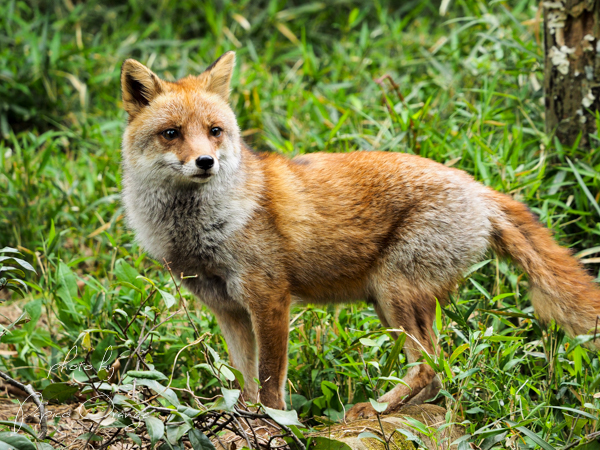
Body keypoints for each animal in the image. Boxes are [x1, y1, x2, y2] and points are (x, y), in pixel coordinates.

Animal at [120, 51, 600, 420]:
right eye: (171, 133)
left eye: (214, 131)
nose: (206, 162)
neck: (203, 231)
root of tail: (477, 186)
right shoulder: (227, 309)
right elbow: (246, 381)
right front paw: (244, 416)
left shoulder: (269, 296)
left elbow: (271, 381)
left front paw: (274, 423)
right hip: (388, 303)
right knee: (436, 374)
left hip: (396, 291)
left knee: (430, 367)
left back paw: (376, 409)